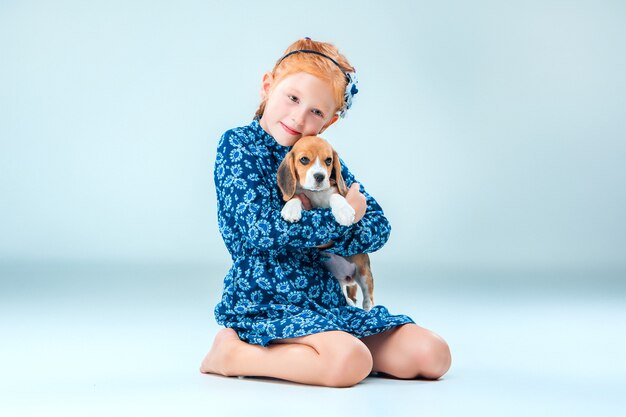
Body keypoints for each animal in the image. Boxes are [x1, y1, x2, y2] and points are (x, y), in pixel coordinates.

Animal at [278, 135, 376, 310]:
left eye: (329, 161)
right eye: (304, 159)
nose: (320, 176)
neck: (314, 193)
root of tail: (348, 278)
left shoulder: (336, 191)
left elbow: (335, 196)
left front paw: (344, 212)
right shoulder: (303, 197)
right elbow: (295, 197)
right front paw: (290, 209)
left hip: (363, 271)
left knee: (368, 293)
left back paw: (368, 308)